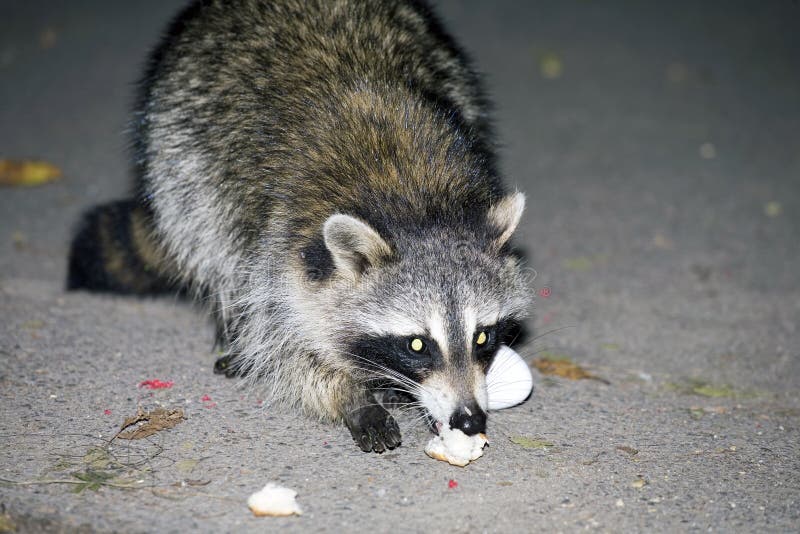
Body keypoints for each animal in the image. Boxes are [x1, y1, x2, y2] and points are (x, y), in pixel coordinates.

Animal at [69, 0, 528, 454]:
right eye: (417, 344)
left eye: (482, 337)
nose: (469, 419)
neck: (417, 204)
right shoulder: (280, 240)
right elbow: (284, 341)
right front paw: (349, 394)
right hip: (178, 150)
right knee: (208, 237)